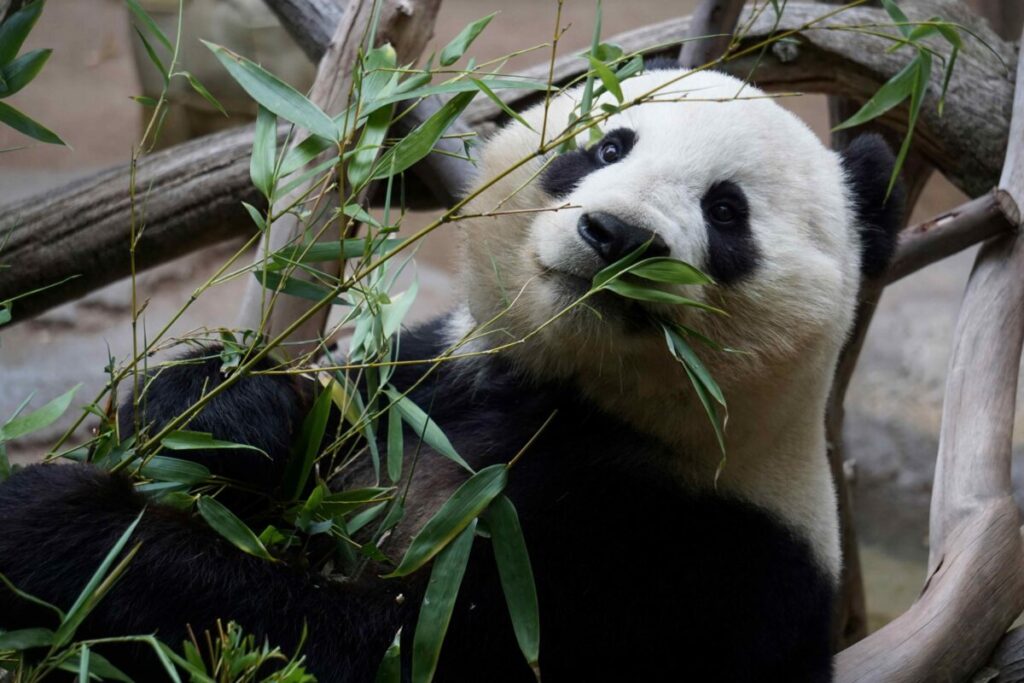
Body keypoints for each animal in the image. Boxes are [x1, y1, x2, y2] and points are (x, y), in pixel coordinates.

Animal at [0, 66, 902, 682]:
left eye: (726, 210)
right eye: (608, 143)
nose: (617, 236)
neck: (575, 395)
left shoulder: (696, 558)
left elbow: (380, 646)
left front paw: (57, 526)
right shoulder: (431, 380)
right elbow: (303, 417)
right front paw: (229, 416)